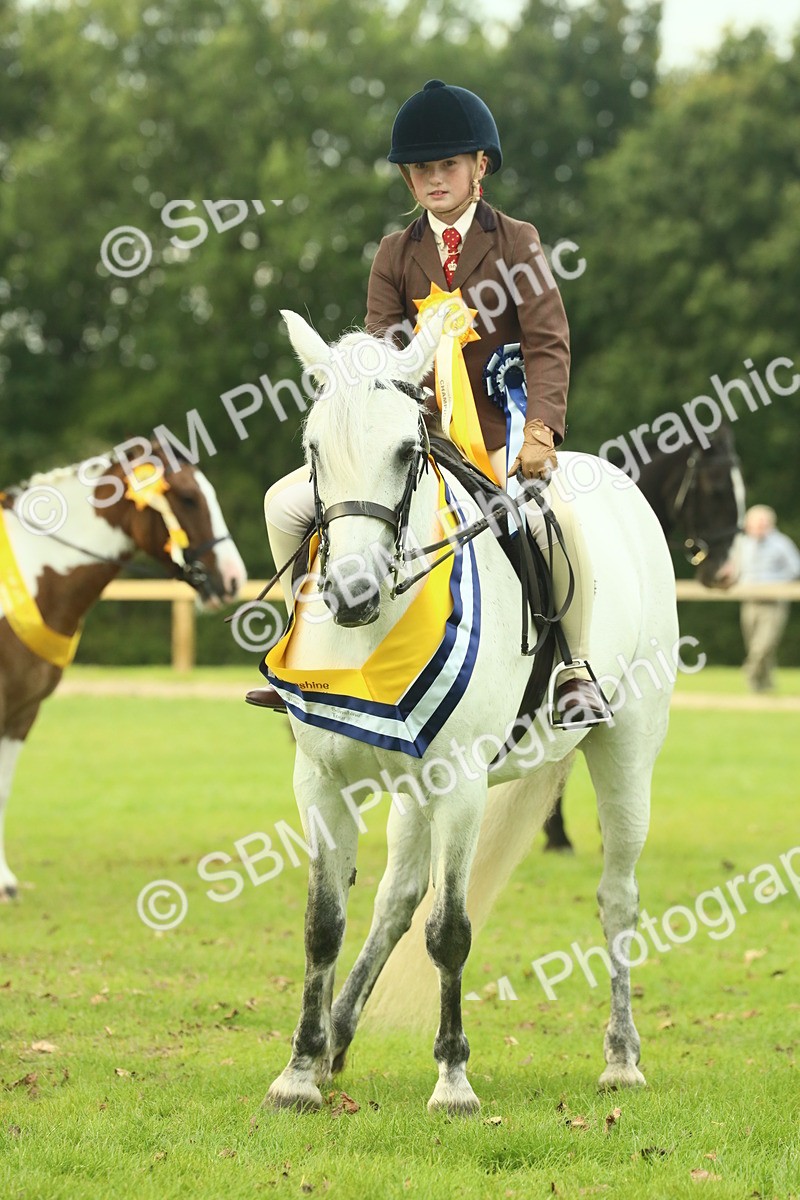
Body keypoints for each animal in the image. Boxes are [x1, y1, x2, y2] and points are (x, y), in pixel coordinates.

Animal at [0, 447, 247, 899]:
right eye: (187, 498)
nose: (234, 578)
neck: (28, 578)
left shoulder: (23, 712)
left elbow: (4, 789)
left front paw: (6, 882)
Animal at [262, 310, 679, 1114]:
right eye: (313, 448)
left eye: (407, 450)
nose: (352, 594)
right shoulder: (319, 781)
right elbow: (323, 924)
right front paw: (298, 1071)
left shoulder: (458, 785)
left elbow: (450, 931)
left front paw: (453, 1080)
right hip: (411, 793)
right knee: (396, 898)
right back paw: (337, 1039)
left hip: (626, 755)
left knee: (617, 899)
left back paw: (622, 1058)